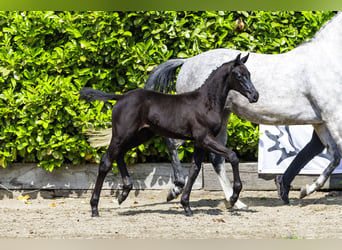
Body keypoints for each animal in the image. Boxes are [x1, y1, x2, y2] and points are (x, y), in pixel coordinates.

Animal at [79, 53, 256, 217]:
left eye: (249, 73)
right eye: (239, 75)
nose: (255, 96)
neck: (206, 102)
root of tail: (121, 97)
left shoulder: (199, 143)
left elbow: (194, 170)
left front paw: (186, 205)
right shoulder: (205, 139)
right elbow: (232, 156)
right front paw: (233, 198)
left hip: (141, 135)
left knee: (119, 155)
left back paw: (123, 193)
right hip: (122, 135)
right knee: (106, 161)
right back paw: (95, 207)